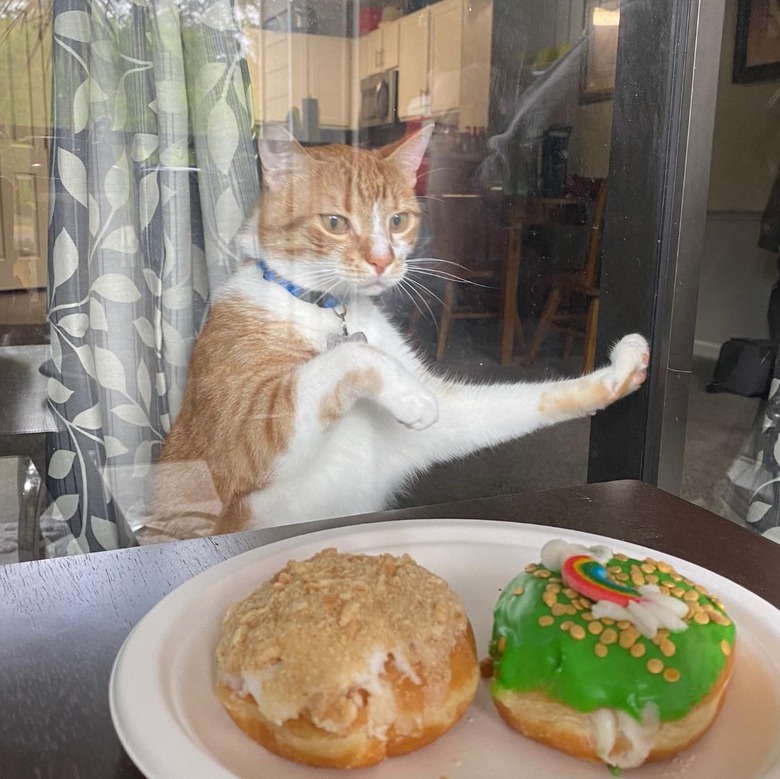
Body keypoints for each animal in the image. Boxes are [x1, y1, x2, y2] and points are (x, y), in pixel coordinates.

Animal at [146, 126, 644, 544]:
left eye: (399, 220)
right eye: (334, 223)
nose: (383, 260)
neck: (326, 309)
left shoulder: (447, 417)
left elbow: (529, 400)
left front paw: (619, 372)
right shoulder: (241, 446)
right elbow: (347, 361)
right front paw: (408, 396)